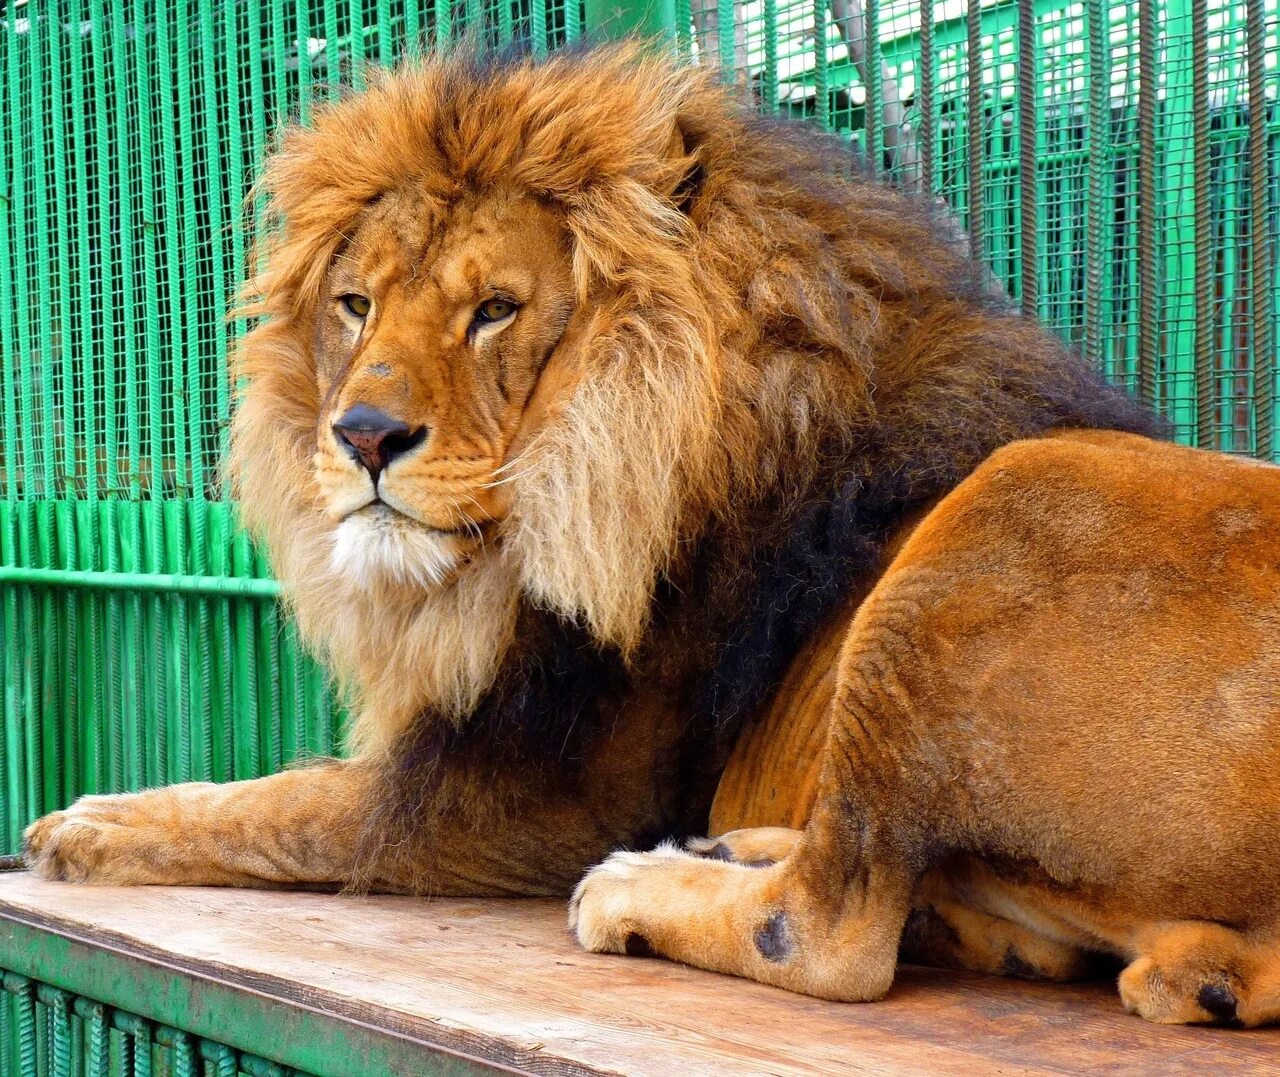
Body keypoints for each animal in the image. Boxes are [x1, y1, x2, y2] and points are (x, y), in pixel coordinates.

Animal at [22, 44, 1280, 1024]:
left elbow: (280, 803)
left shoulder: (517, 802)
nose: (363, 435)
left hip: (1018, 497)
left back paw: (641, 889)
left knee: (828, 931)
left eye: (494, 311)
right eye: (354, 307)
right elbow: (277, 780)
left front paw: (85, 824)